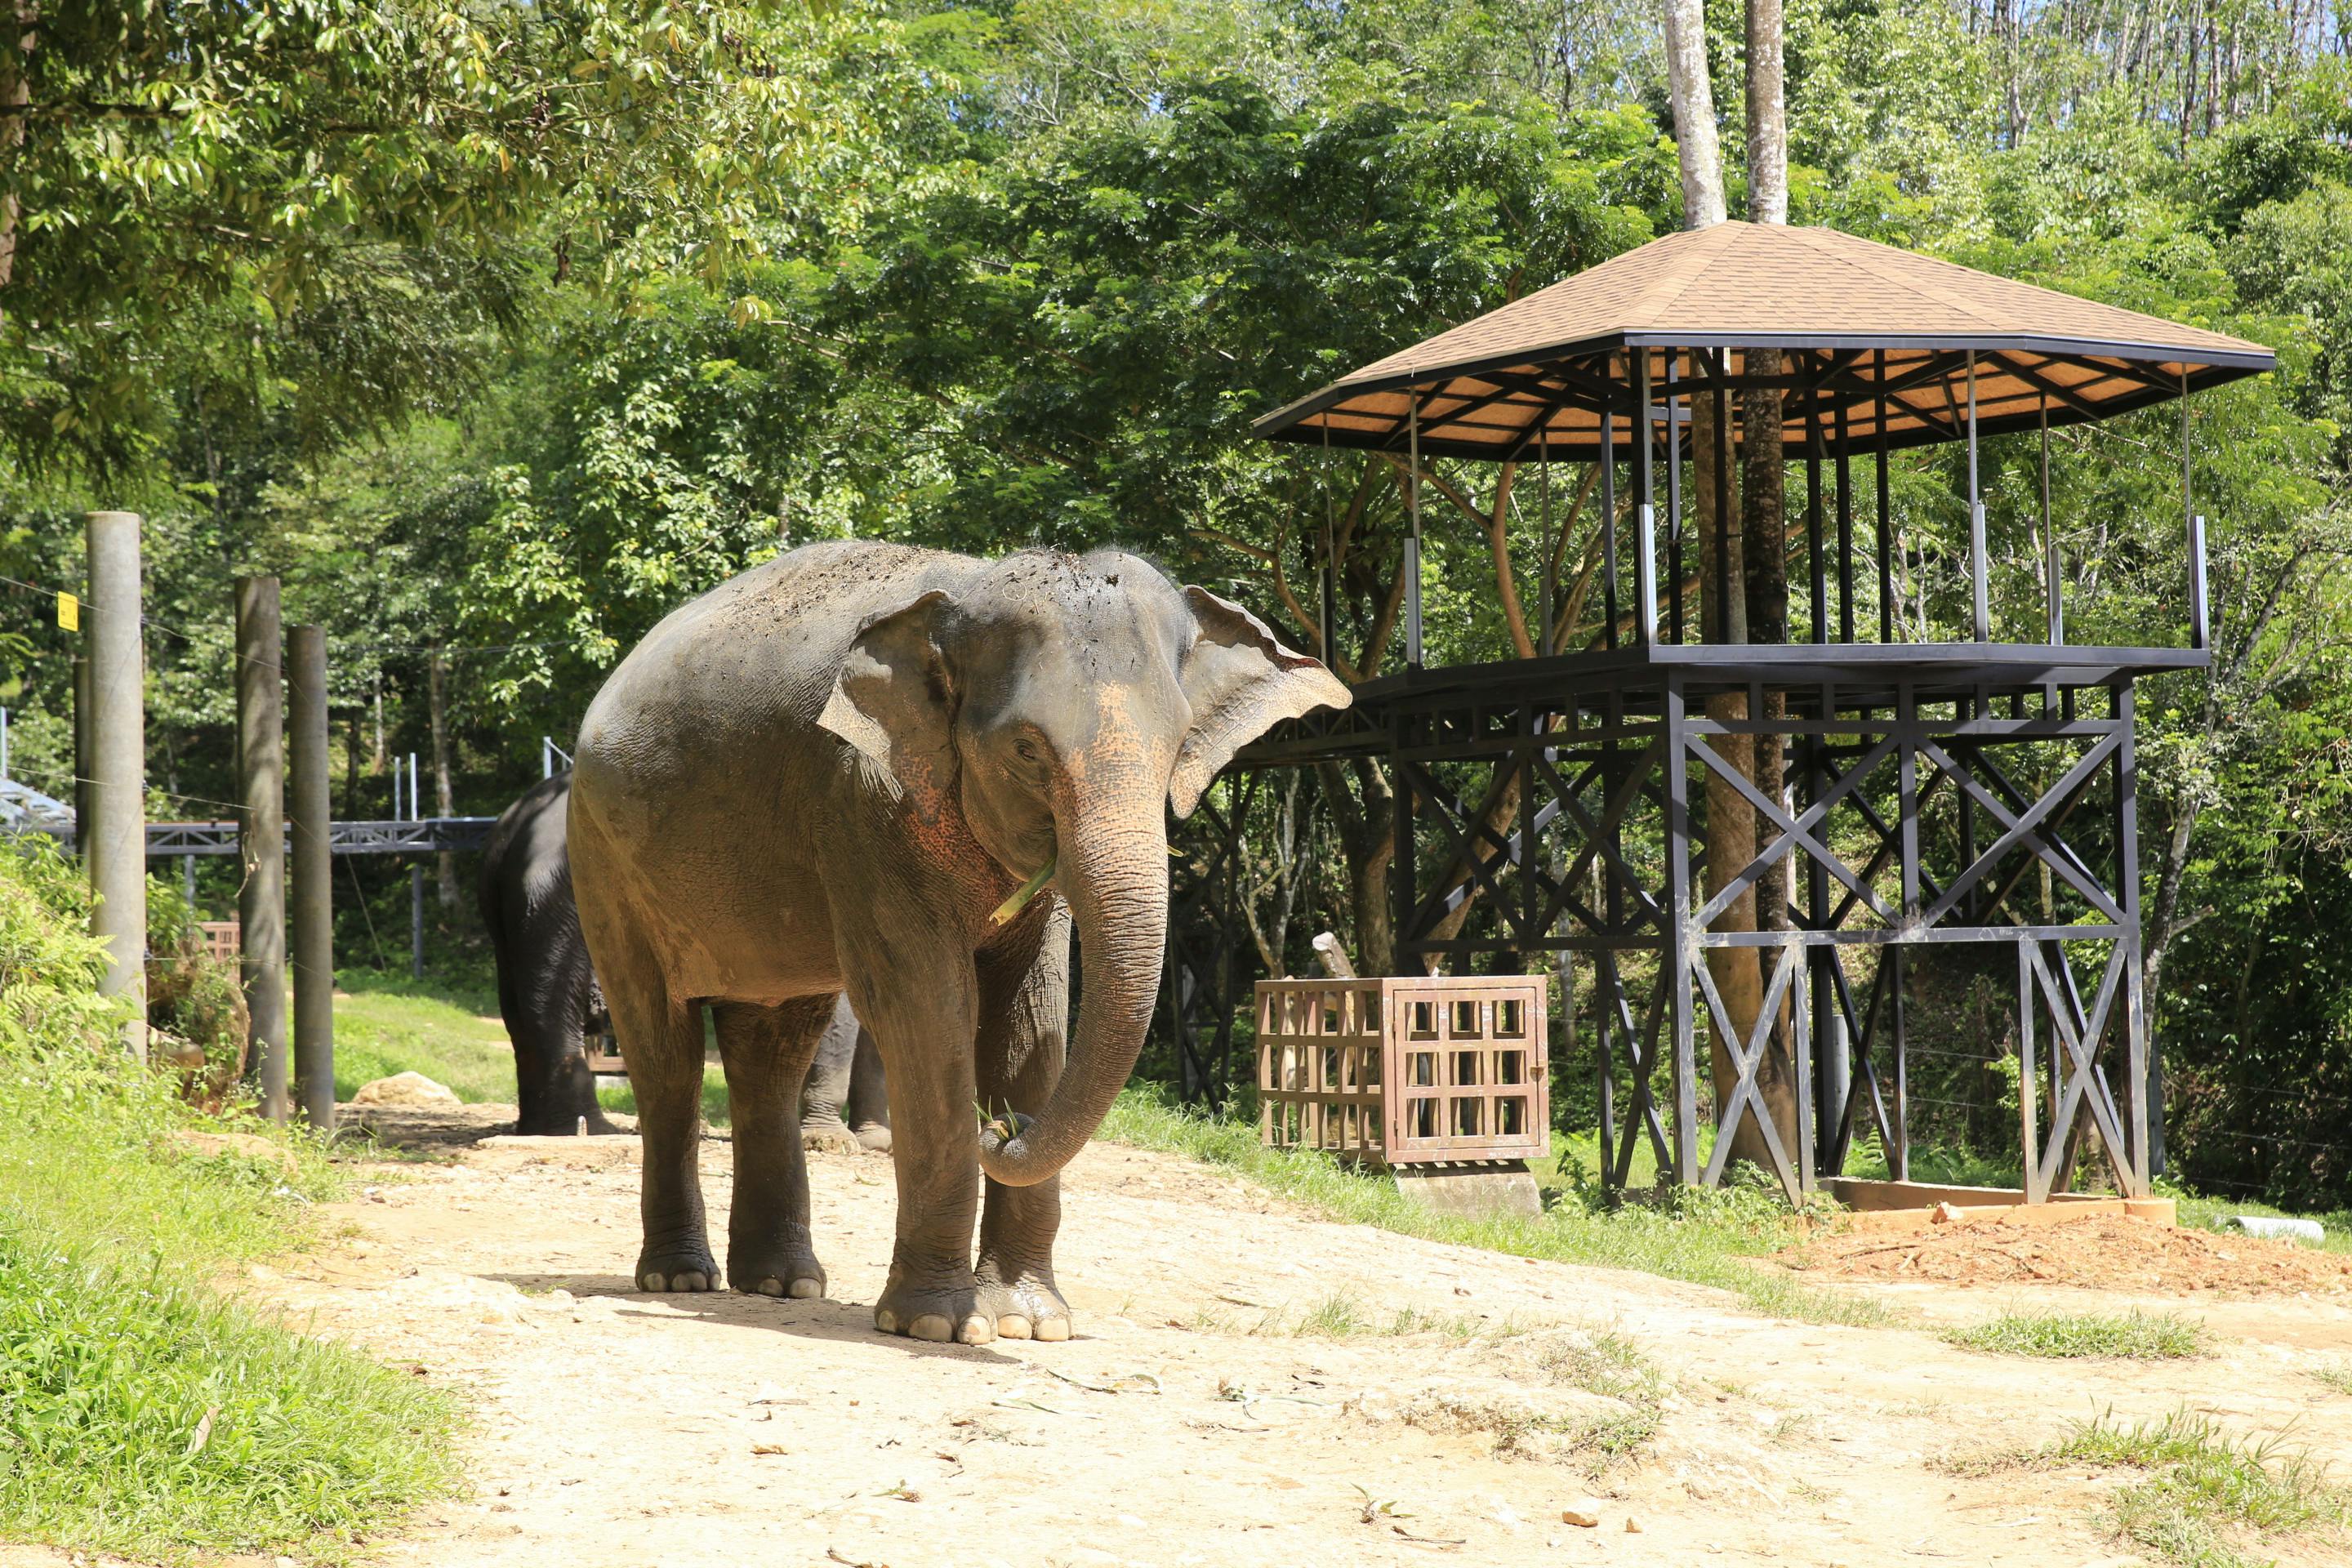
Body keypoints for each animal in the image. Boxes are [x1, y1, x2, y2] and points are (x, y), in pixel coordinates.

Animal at [481, 774, 891, 1141]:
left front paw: (875, 1141)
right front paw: (830, 1140)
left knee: (521, 1009)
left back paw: (540, 1129)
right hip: (570, 894)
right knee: (555, 1000)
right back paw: (589, 1130)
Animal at [568, 539, 1347, 1345]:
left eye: (1177, 745)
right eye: (1027, 750)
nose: (1003, 1126)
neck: (967, 586)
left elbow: (1030, 1016)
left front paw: (1030, 1324)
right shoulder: (862, 799)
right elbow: (926, 1009)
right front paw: (937, 1326)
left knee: (772, 1050)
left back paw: (784, 1283)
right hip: (601, 858)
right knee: (665, 1053)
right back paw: (679, 1278)